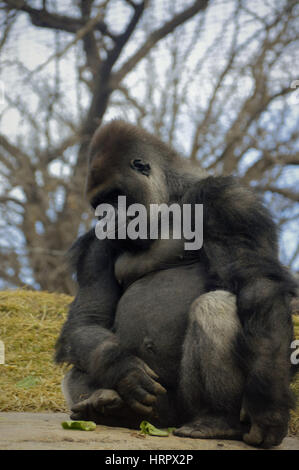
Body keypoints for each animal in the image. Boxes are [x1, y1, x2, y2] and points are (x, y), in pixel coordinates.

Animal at [55, 119, 298, 446]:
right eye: (100, 205)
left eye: (115, 197)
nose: (109, 220)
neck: (169, 201)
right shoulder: (96, 245)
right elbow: (88, 319)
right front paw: (121, 368)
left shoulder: (228, 201)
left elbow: (258, 283)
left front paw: (267, 405)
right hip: (156, 407)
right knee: (82, 365)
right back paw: (108, 405)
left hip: (184, 410)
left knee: (215, 306)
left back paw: (216, 420)